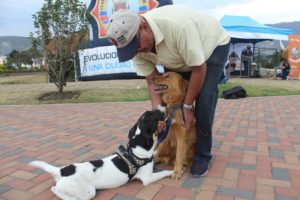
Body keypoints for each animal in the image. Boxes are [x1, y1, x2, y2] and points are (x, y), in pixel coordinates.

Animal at [29, 107, 173, 199]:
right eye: (154, 117)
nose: (162, 108)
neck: (135, 150)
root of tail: (61, 170)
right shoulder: (147, 178)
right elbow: (163, 172)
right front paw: (172, 172)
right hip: (88, 191)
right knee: (55, 190)